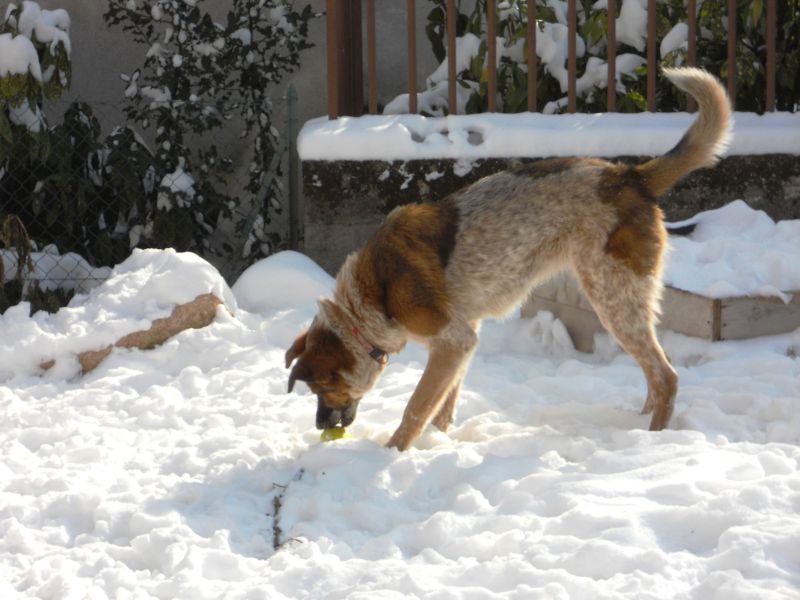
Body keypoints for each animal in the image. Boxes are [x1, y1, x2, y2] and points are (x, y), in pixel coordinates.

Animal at [286, 69, 732, 450]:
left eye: (320, 389)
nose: (320, 425)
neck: (372, 296)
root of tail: (632, 176)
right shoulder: (462, 340)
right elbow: (443, 404)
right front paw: (440, 441)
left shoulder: (452, 340)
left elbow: (416, 408)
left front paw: (390, 454)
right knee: (657, 371)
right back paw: (638, 423)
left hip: (613, 301)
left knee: (666, 375)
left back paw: (652, 439)